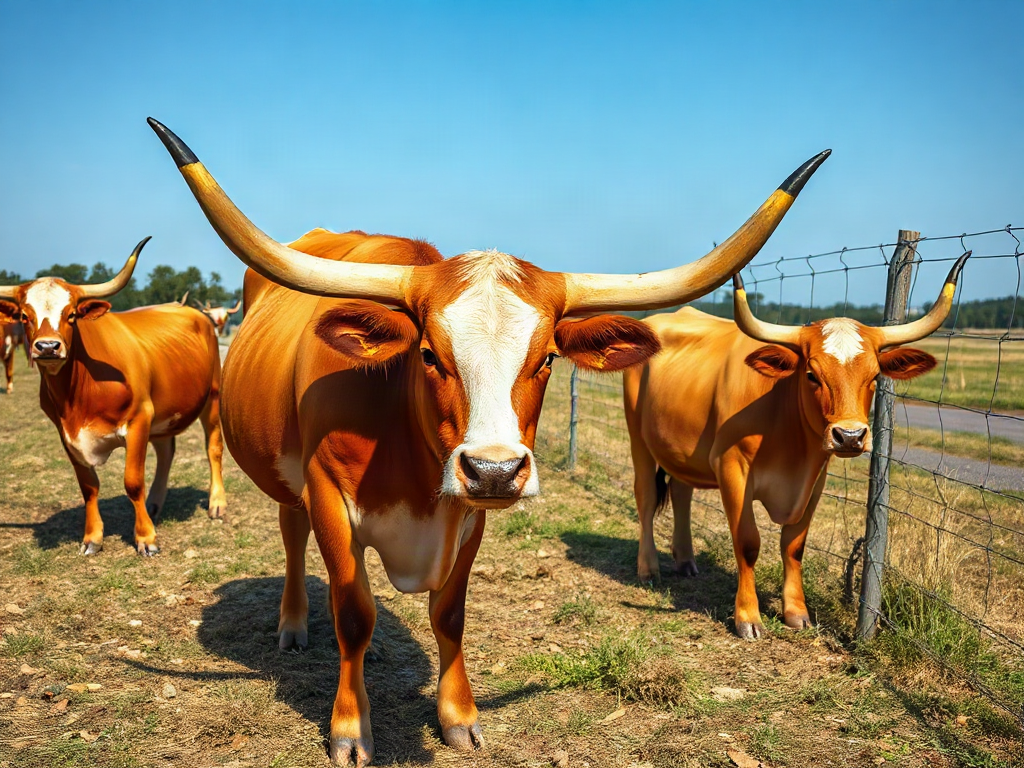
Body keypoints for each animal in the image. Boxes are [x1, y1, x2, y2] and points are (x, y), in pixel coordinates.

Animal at [0, 239, 227, 556]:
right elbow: (88, 486)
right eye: (24, 315)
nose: (47, 347)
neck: (78, 395)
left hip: (213, 397)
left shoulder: (139, 419)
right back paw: (154, 504)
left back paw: (217, 504)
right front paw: (93, 537)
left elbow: (132, 482)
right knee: (166, 452)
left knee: (213, 447)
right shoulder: (65, 433)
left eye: (71, 315)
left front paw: (146, 538)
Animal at [149, 116, 828, 766]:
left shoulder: (469, 517)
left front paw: (459, 717)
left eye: (549, 357)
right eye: (428, 353)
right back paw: (292, 625)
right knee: (293, 537)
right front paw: (349, 728)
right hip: (290, 481)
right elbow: (355, 615)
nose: (495, 470)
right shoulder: (328, 496)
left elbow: (449, 615)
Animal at [622, 255, 969, 639]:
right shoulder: (731, 468)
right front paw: (748, 617)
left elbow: (794, 546)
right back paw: (648, 568)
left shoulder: (814, 480)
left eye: (875, 376)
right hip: (638, 437)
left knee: (682, 492)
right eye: (811, 375)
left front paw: (797, 612)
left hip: (683, 451)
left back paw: (685, 560)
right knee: (646, 496)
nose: (850, 436)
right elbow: (748, 542)